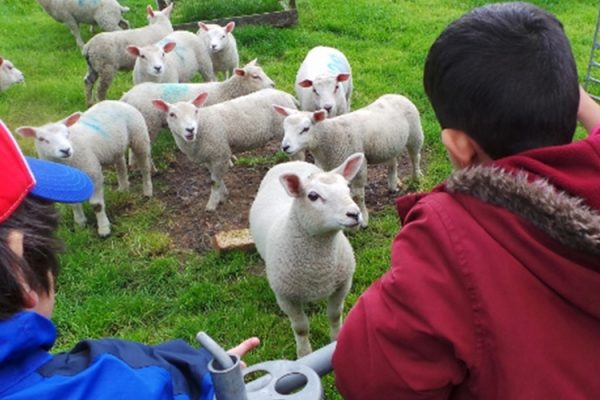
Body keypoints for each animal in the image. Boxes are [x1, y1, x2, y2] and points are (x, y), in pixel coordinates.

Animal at [17, 101, 152, 238]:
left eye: (67, 134)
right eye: (42, 139)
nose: (66, 150)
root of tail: (117, 101)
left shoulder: (93, 173)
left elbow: (97, 205)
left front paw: (104, 229)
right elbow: (74, 205)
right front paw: (80, 225)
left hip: (139, 135)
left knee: (145, 167)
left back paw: (147, 191)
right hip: (116, 147)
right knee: (121, 165)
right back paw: (123, 189)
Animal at [152, 88, 298, 211]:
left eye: (195, 111)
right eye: (172, 114)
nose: (190, 129)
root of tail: (286, 94)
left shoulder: (220, 153)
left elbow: (214, 182)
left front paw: (212, 204)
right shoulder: (210, 157)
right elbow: (215, 177)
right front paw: (223, 195)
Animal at [250, 152, 366, 356]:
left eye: (347, 187)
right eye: (313, 196)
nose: (354, 214)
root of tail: (291, 162)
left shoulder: (342, 285)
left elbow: (334, 315)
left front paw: (336, 340)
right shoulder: (286, 297)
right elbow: (301, 328)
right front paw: (304, 353)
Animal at [274, 92, 424, 227]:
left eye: (305, 129)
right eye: (284, 128)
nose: (285, 147)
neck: (329, 138)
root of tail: (398, 95)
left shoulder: (359, 166)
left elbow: (358, 196)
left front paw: (363, 219)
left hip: (415, 135)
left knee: (415, 157)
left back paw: (416, 178)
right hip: (390, 144)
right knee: (393, 162)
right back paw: (393, 186)